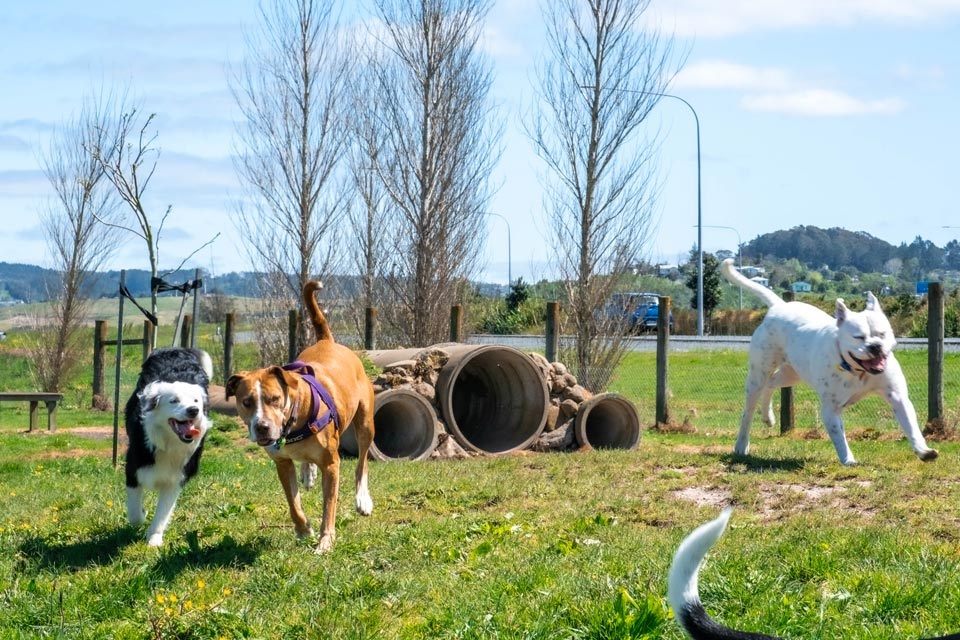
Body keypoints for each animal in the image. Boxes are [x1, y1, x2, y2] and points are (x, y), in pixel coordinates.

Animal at [226, 282, 376, 552]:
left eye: (275, 399)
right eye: (246, 402)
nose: (262, 427)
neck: (293, 422)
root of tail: (328, 341)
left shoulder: (331, 464)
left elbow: (329, 505)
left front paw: (325, 541)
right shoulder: (282, 463)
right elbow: (292, 503)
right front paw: (304, 529)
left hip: (366, 423)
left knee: (362, 462)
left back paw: (362, 499)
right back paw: (308, 473)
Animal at [720, 258, 936, 464]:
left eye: (882, 334)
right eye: (858, 337)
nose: (875, 346)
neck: (856, 371)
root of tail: (778, 307)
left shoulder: (898, 397)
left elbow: (911, 427)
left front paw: (923, 451)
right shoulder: (831, 409)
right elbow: (838, 436)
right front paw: (848, 460)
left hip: (792, 374)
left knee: (771, 384)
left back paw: (768, 416)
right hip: (758, 375)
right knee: (748, 411)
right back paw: (741, 445)